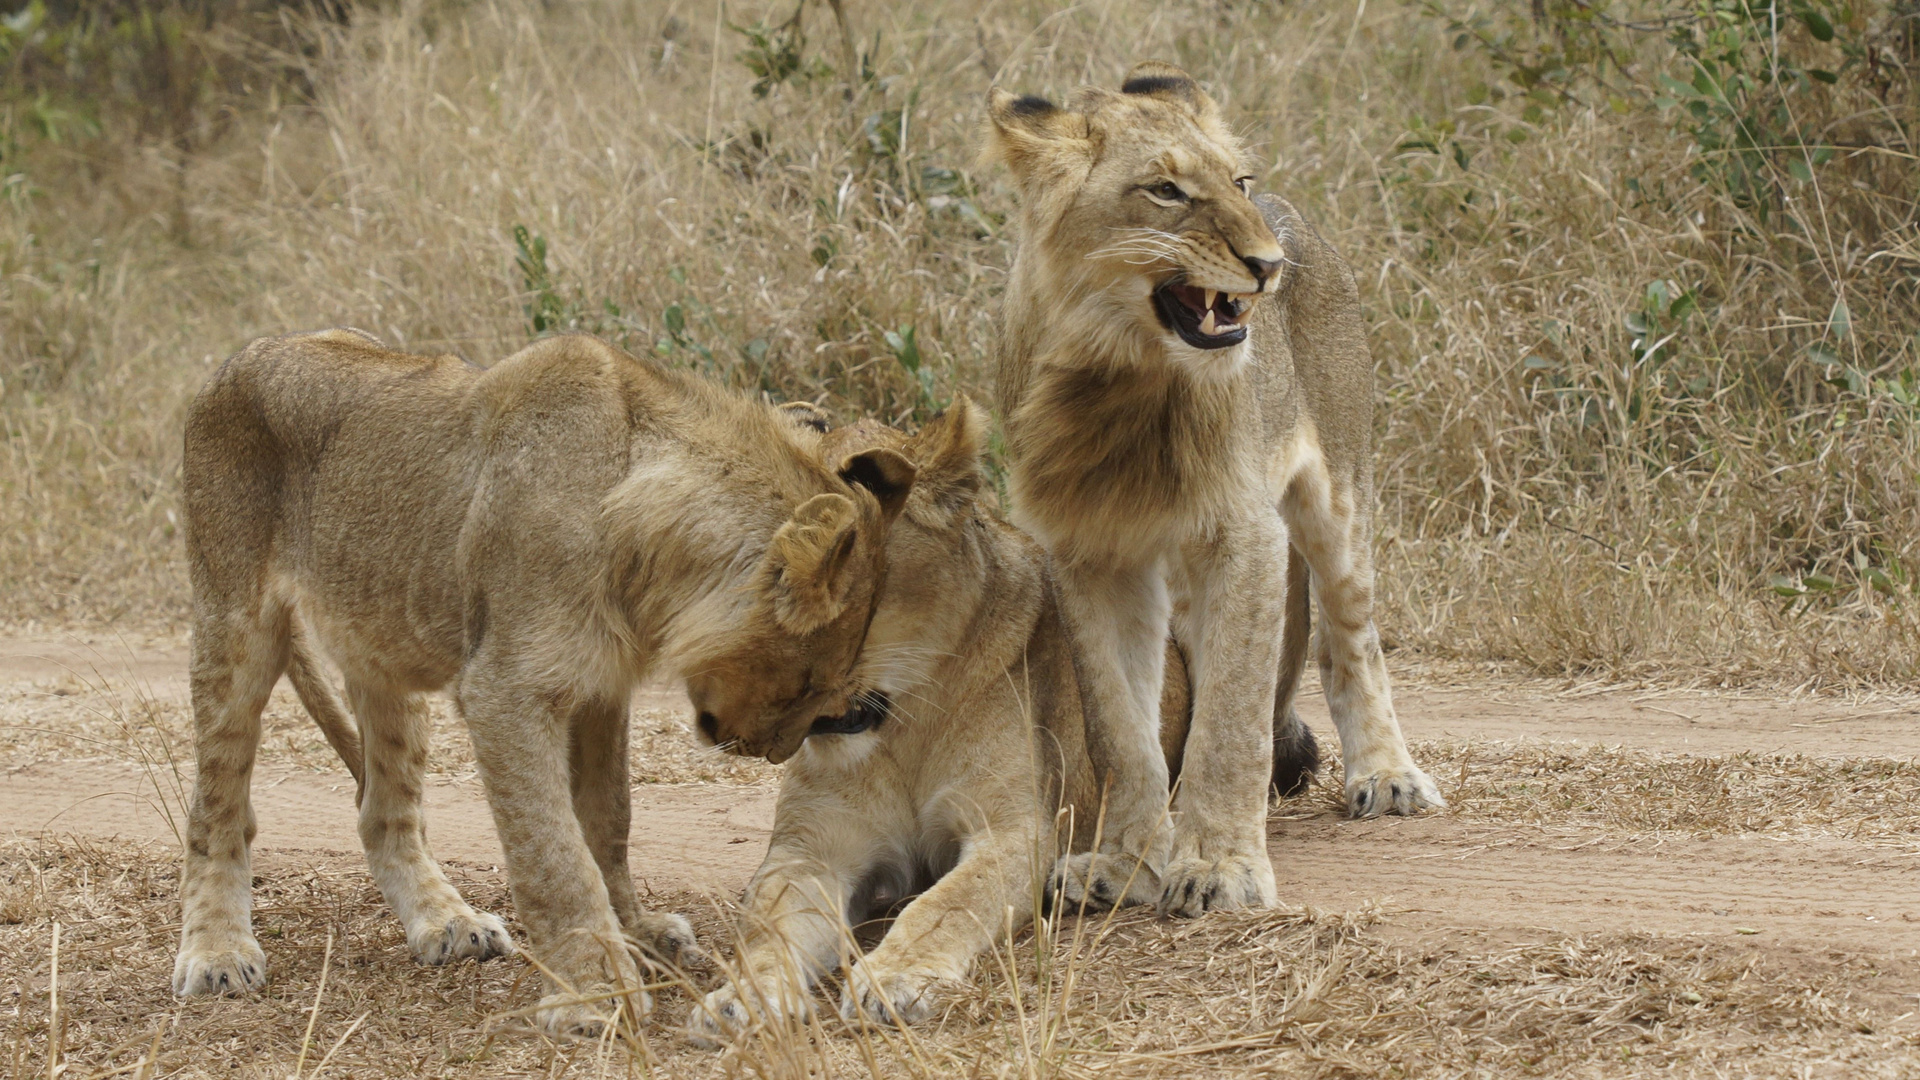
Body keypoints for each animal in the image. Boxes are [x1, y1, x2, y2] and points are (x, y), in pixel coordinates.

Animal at [174, 322, 913, 1030]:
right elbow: (554, 851)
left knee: (384, 810)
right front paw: (595, 988)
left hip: (381, 642)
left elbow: (608, 819)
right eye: (812, 681)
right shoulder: (506, 689)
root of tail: (243, 356)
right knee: (218, 805)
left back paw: (450, 925)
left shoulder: (600, 690)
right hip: (234, 622)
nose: (777, 754)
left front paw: (638, 934)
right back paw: (217, 953)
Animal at [990, 62, 1443, 910]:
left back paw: (1388, 777)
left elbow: (1231, 719)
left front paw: (1219, 868)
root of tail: (1296, 214)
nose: (1268, 266)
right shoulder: (1090, 554)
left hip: (1339, 495)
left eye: (1237, 181)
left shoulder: (1245, 535)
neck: (1119, 378)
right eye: (1166, 191)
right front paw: (1126, 863)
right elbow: (1119, 728)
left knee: (1348, 640)